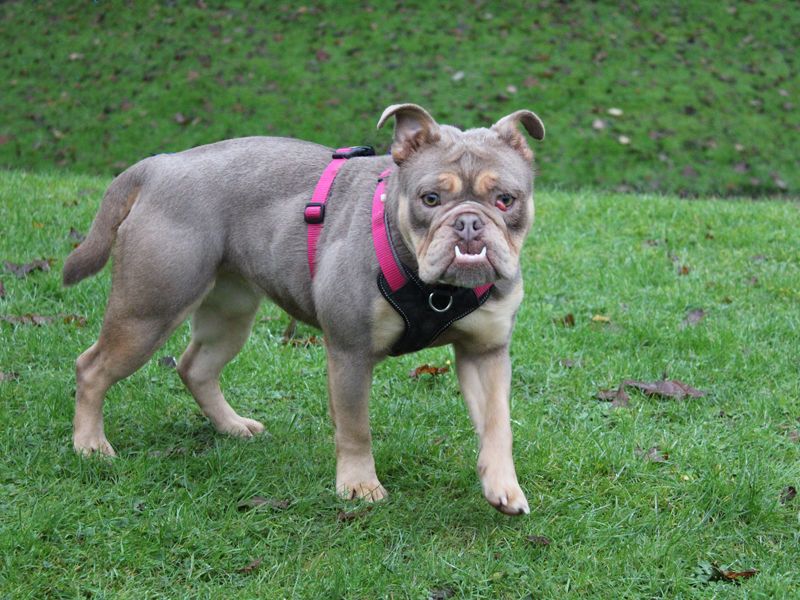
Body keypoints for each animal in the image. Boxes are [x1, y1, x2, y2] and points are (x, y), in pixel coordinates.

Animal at [64, 103, 544, 516]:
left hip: (229, 314)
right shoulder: (350, 351)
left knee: (195, 366)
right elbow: (355, 425)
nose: (469, 223)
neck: (439, 289)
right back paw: (90, 445)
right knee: (92, 367)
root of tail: (160, 165)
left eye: (506, 200)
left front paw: (503, 486)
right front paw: (359, 485)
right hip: (149, 311)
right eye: (430, 199)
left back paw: (231, 426)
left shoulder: (485, 354)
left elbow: (498, 424)